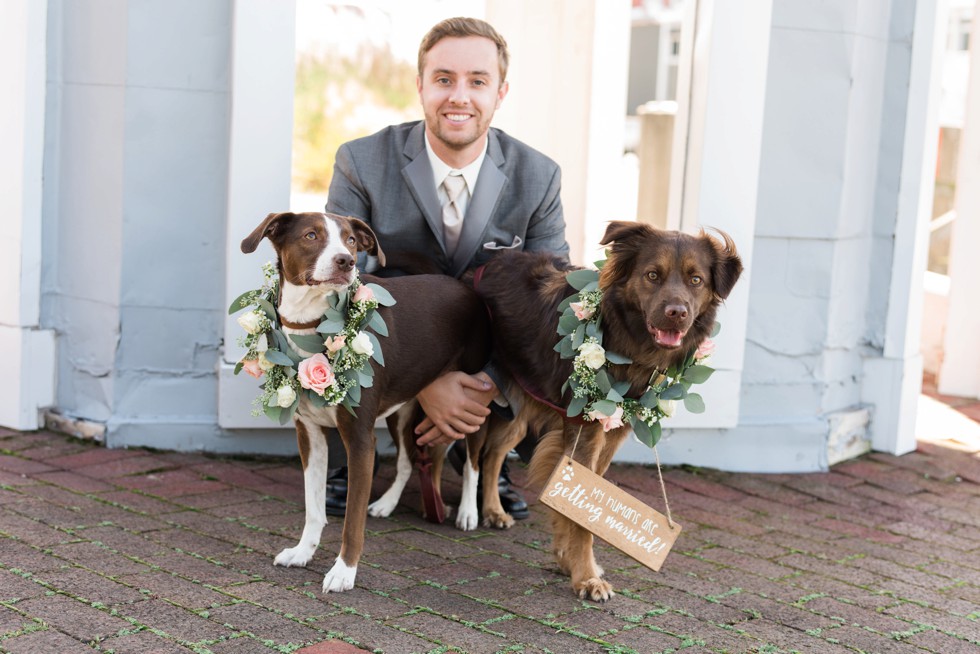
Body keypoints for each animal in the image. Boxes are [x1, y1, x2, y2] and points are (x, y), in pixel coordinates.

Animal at [241, 214, 490, 596]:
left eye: (351, 240)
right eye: (311, 235)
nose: (347, 261)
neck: (310, 324)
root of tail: (465, 287)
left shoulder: (360, 439)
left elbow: (352, 519)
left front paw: (344, 572)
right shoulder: (309, 434)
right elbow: (314, 507)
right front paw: (303, 552)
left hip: (472, 391)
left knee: (474, 456)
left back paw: (468, 512)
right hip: (402, 409)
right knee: (408, 460)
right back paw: (387, 503)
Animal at [470, 223, 740, 604]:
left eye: (696, 280)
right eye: (652, 275)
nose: (677, 313)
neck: (625, 339)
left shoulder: (611, 431)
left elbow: (579, 502)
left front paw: (569, 561)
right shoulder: (585, 429)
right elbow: (581, 512)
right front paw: (585, 576)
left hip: (520, 401)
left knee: (494, 452)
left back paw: (494, 509)